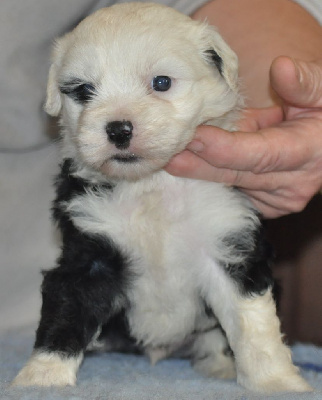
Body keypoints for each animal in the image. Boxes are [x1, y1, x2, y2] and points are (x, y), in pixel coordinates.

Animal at [13, 1, 312, 392]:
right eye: (83, 90)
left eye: (161, 83)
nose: (118, 129)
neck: (150, 184)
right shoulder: (88, 253)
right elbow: (66, 312)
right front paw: (43, 377)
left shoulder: (228, 243)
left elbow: (253, 325)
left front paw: (275, 381)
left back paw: (219, 365)